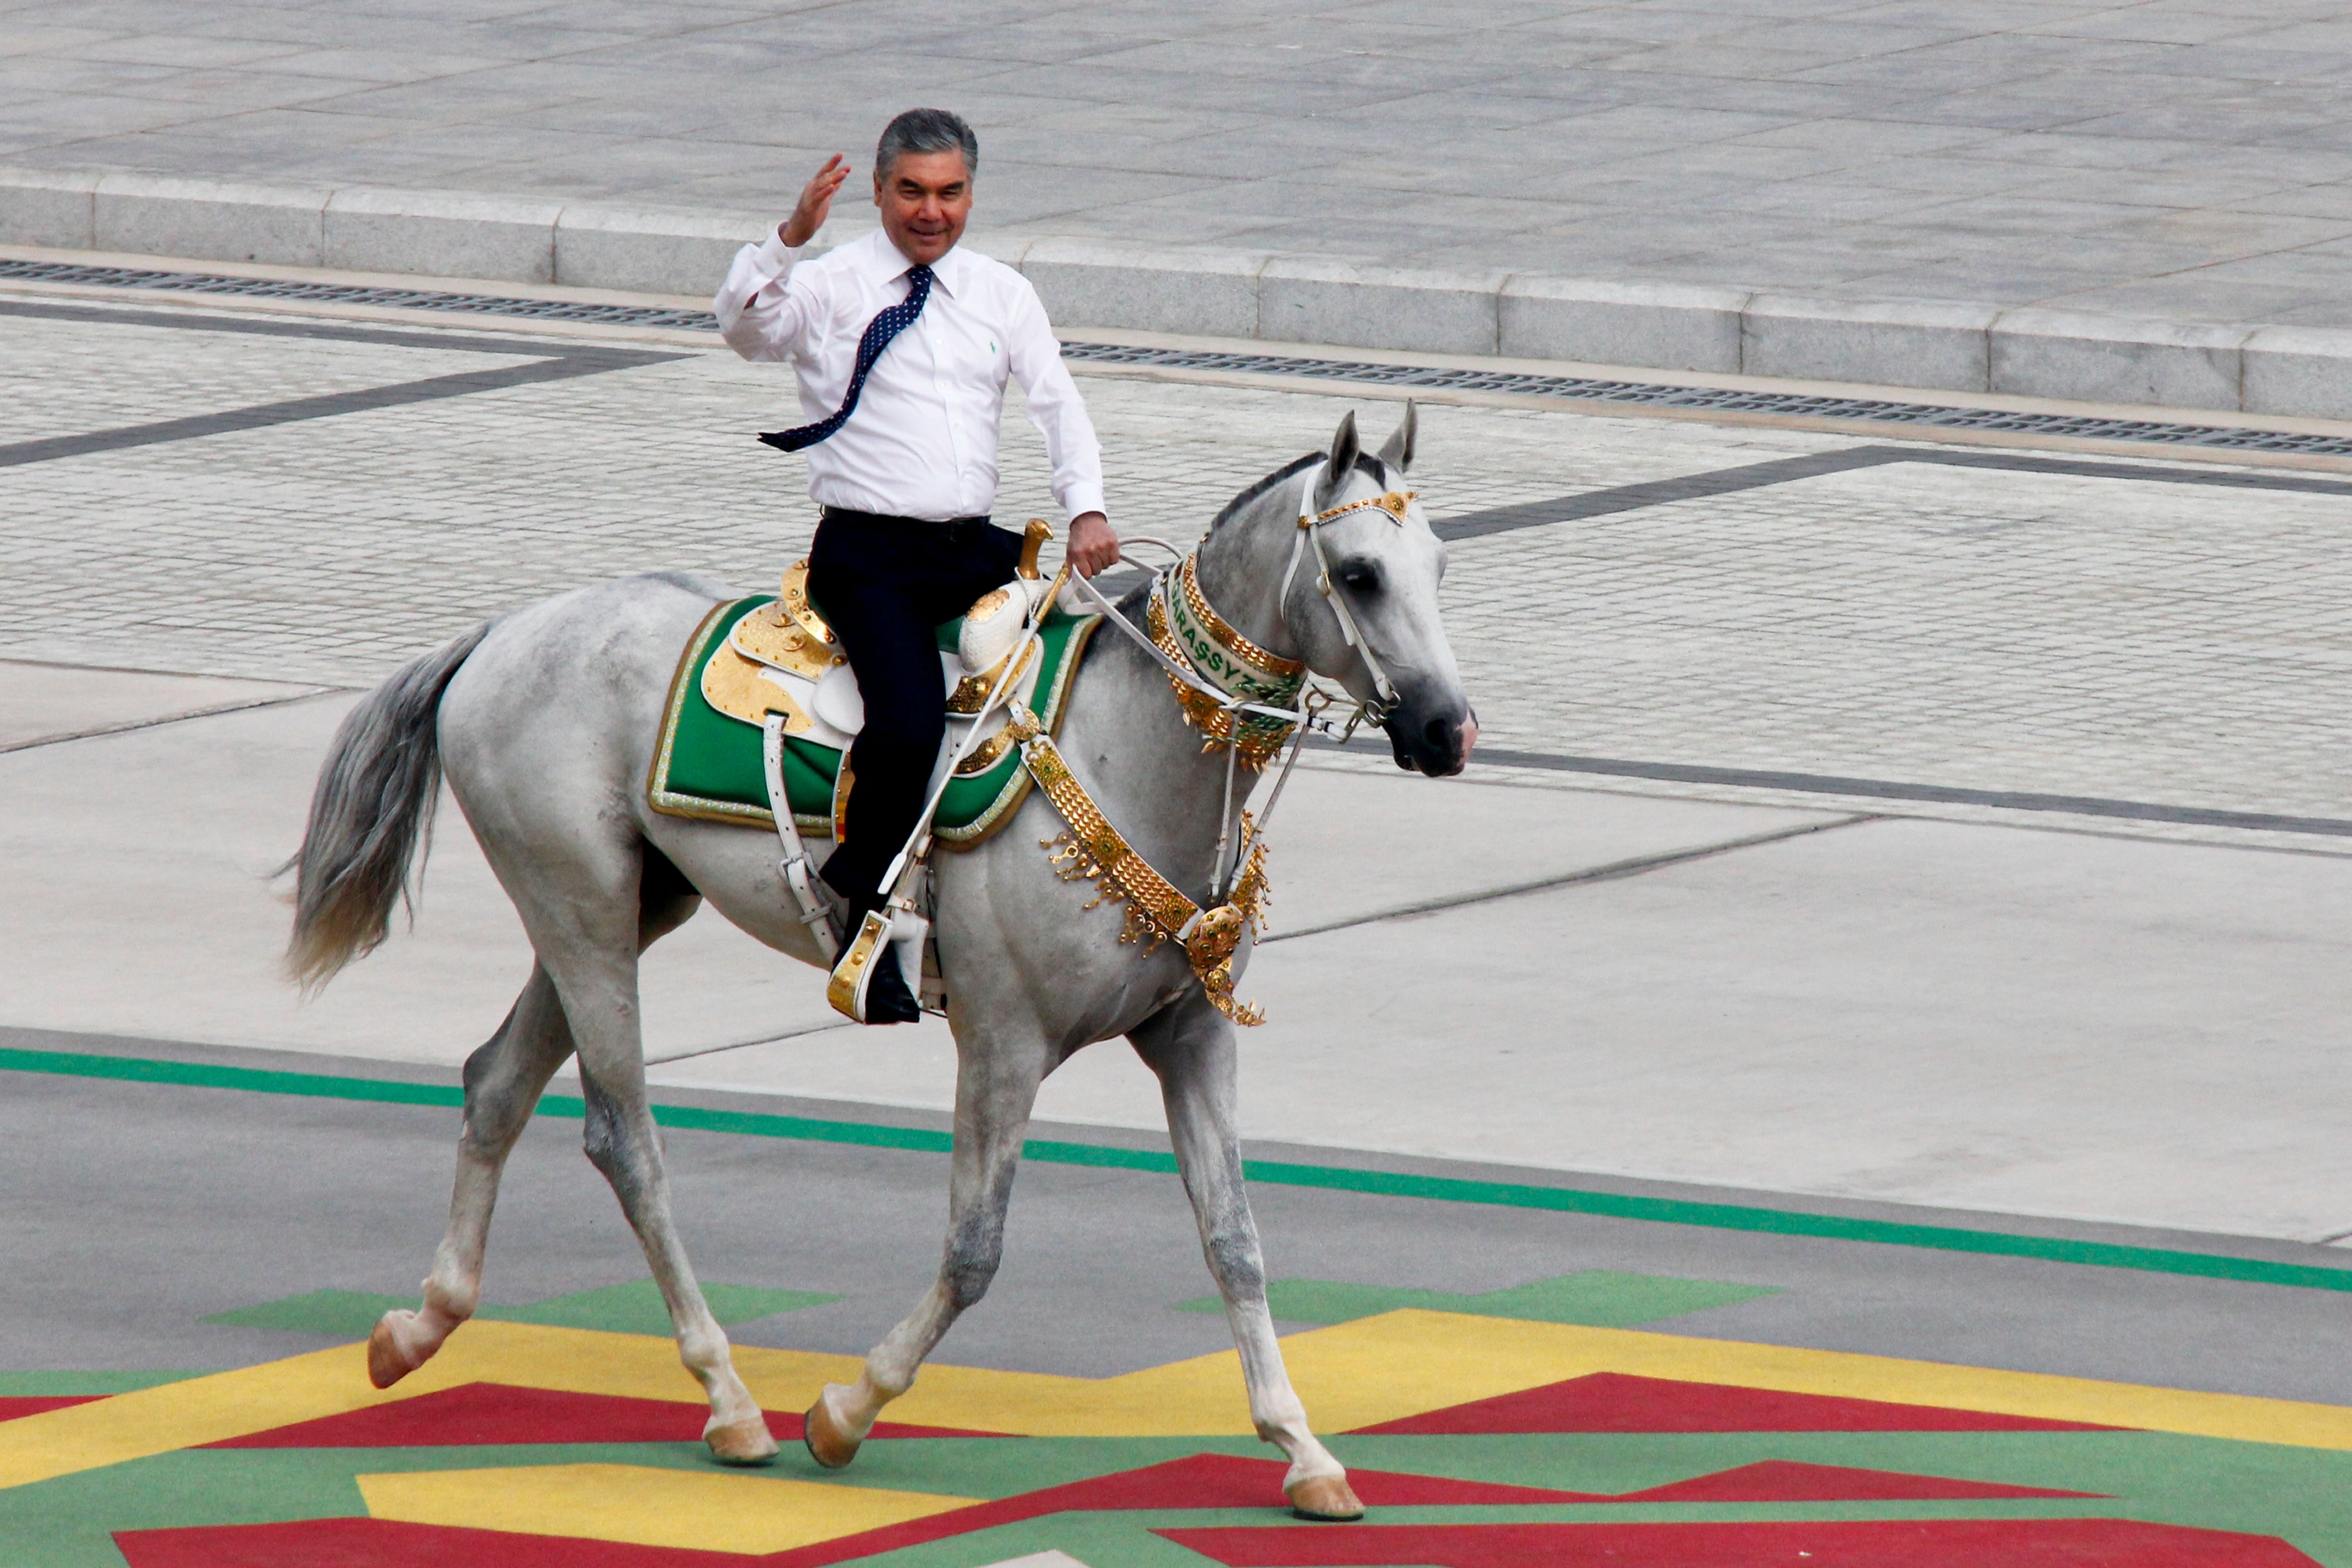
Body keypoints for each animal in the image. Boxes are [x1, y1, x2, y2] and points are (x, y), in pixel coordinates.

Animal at [289, 404, 1468, 1523]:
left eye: (1440, 566)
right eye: (1358, 575)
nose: (1447, 731)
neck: (1131, 749)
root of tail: (504, 630)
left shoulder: (1191, 1035)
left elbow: (1235, 1240)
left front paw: (1303, 1453)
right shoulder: (1003, 1044)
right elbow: (974, 1250)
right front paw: (846, 1411)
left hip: (618, 908)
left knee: (494, 1083)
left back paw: (420, 1327)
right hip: (579, 914)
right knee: (624, 1139)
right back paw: (726, 1399)